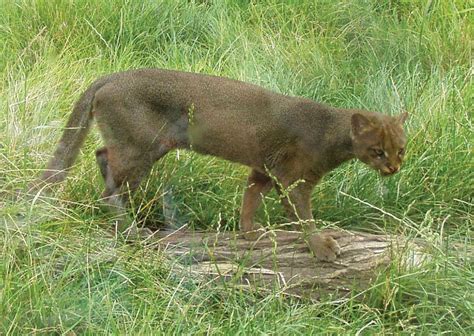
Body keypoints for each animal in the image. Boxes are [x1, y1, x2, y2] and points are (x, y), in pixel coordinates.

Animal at [36, 69, 408, 262]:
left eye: (401, 150)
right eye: (377, 151)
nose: (393, 168)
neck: (332, 132)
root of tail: (112, 76)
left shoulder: (264, 169)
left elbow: (250, 198)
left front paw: (249, 232)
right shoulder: (292, 180)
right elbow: (304, 217)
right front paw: (321, 247)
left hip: (144, 148)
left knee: (102, 156)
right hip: (140, 150)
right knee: (108, 188)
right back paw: (130, 228)